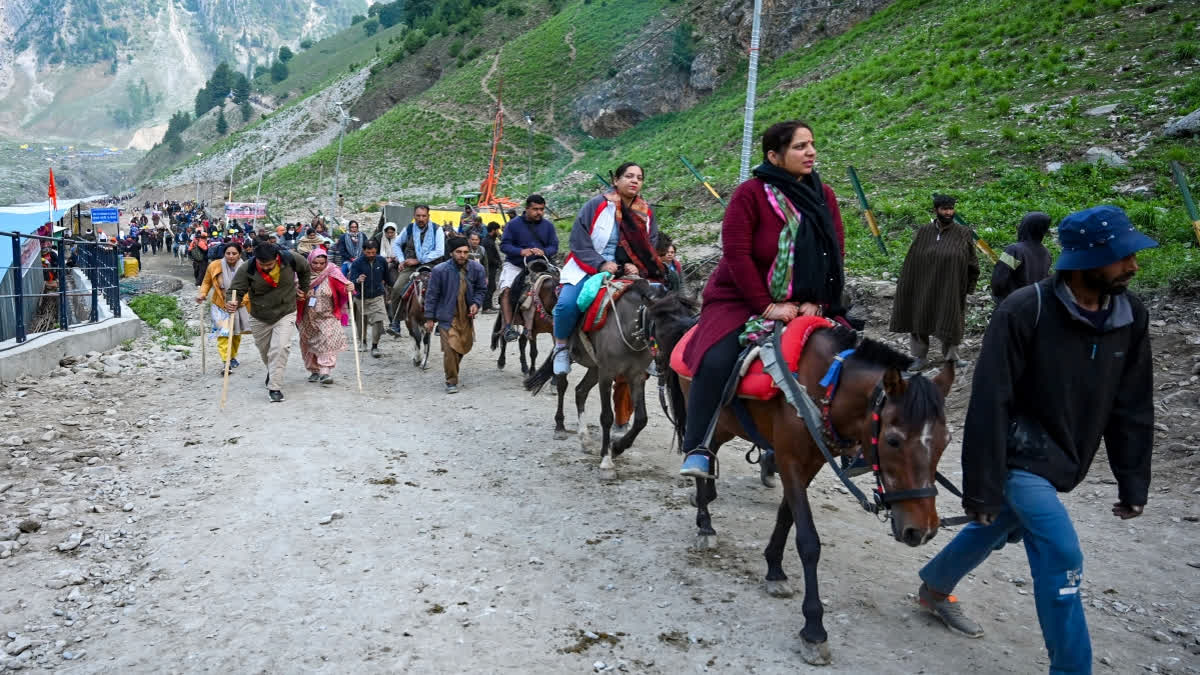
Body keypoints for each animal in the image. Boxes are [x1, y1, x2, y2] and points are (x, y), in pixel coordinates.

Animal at [657, 319, 955, 662]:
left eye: (946, 441)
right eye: (893, 440)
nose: (923, 530)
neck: (826, 387)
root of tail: (688, 328)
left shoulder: (811, 464)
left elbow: (787, 517)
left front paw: (774, 569)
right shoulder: (789, 460)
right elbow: (808, 540)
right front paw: (813, 630)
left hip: (727, 425)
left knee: (711, 451)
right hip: (709, 413)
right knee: (699, 449)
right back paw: (705, 523)